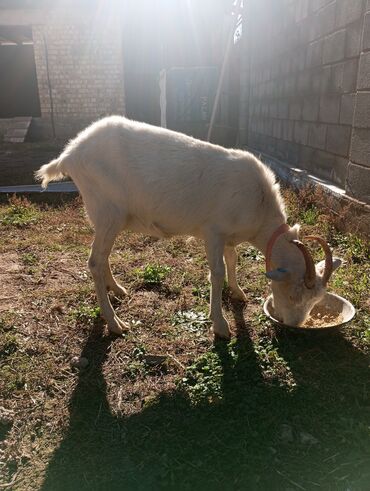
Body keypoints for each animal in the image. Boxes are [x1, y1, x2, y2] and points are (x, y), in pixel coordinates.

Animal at [36, 116, 342, 338]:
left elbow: (234, 259)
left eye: (316, 301)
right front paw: (220, 326)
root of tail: (69, 154)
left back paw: (118, 290)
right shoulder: (213, 232)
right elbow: (216, 273)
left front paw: (238, 293)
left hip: (108, 219)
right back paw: (114, 323)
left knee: (102, 258)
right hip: (107, 210)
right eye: (293, 294)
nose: (294, 325)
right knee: (94, 262)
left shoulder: (229, 235)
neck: (260, 203)